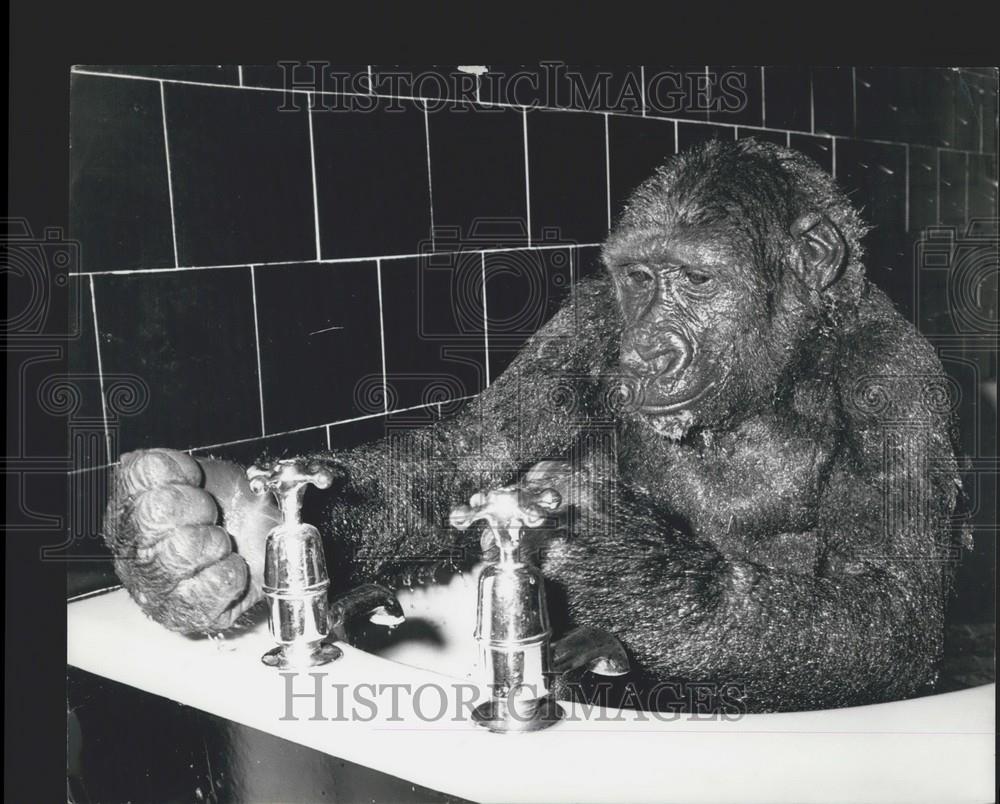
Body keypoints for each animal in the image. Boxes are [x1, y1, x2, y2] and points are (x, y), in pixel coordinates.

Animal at [105, 141, 964, 712]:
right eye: (640, 279)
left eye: (696, 279)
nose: (648, 351)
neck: (773, 380)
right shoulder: (583, 329)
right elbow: (460, 463)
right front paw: (191, 535)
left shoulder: (896, 388)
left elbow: (886, 611)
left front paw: (620, 560)